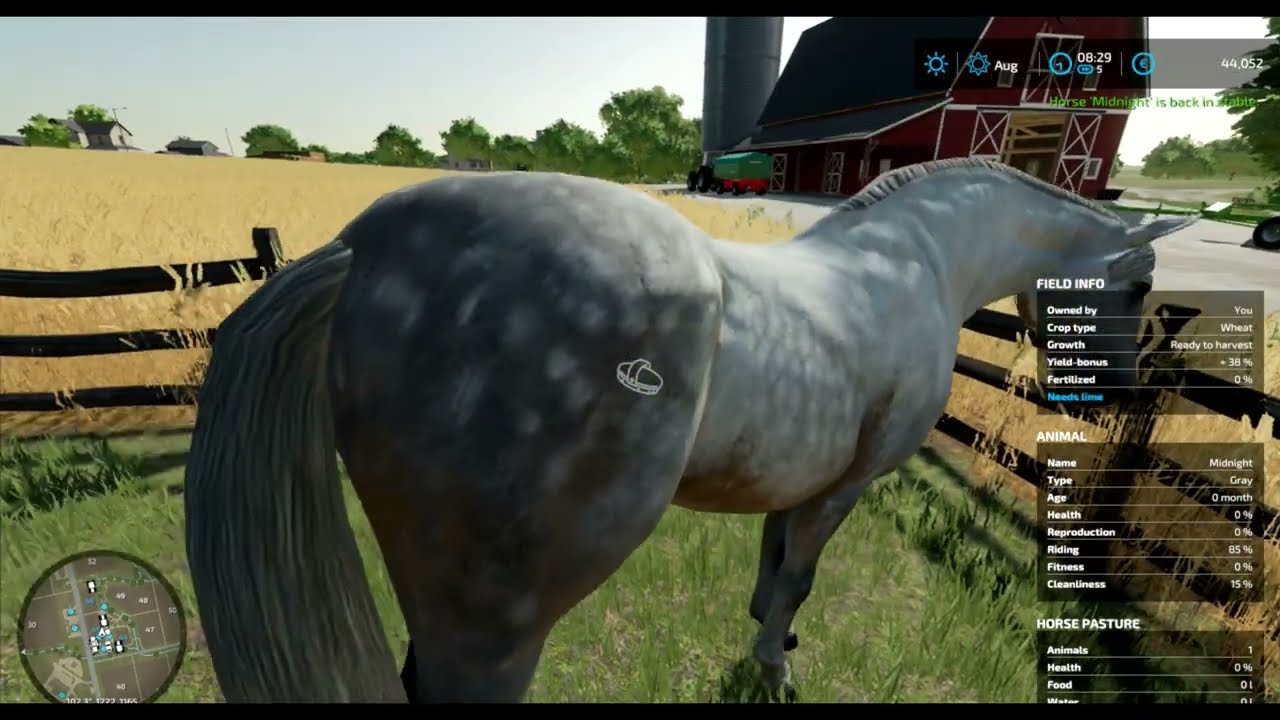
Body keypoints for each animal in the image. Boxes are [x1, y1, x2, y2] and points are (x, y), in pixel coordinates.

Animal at [183, 157, 1196, 703]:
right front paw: (774, 666)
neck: (917, 267)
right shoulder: (846, 486)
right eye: (1139, 283)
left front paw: (768, 639)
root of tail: (359, 251)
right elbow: (800, 576)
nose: (1111, 391)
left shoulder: (798, 482)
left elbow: (775, 566)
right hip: (494, 613)